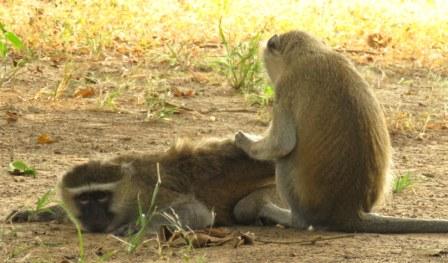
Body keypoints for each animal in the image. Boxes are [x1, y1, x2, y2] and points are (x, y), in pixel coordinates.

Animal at [7, 138, 290, 235]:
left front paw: (138, 226)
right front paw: (37, 213)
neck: (128, 188)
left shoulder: (147, 192)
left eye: (101, 197)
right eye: (84, 199)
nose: (93, 216)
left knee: (245, 207)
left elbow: (197, 211)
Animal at [236, 29, 448, 234]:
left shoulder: (285, 89)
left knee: (284, 160)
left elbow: (282, 144)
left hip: (307, 204)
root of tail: (349, 210)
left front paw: (243, 141)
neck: (309, 52)